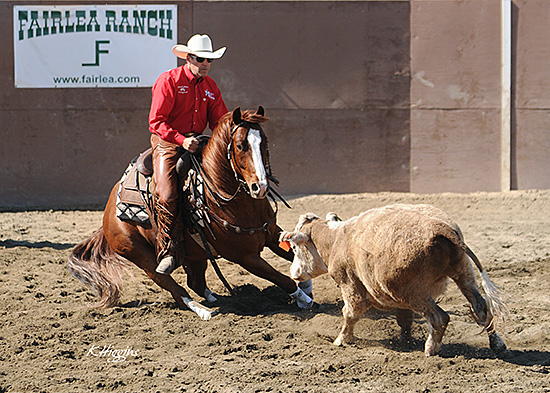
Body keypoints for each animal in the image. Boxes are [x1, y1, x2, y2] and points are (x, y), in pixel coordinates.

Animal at [68, 106, 314, 318]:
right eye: (241, 145)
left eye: (265, 142)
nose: (260, 187)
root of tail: (109, 210)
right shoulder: (244, 257)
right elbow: (283, 280)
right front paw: (306, 300)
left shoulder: (272, 235)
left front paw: (307, 284)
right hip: (140, 255)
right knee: (175, 288)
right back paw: (203, 310)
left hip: (195, 254)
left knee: (195, 282)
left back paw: (216, 299)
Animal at [282, 204, 512, 356]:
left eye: (294, 247)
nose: (293, 273)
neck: (336, 239)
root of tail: (441, 227)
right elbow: (404, 319)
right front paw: (405, 340)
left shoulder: (350, 286)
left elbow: (350, 313)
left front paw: (341, 340)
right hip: (463, 273)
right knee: (481, 309)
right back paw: (497, 344)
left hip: (413, 292)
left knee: (439, 318)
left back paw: (430, 349)